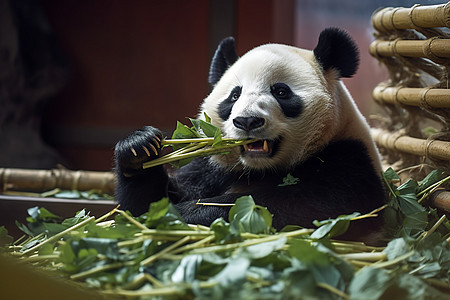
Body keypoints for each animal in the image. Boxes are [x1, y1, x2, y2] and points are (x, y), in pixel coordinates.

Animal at [114, 28, 384, 243]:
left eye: (281, 92)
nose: (247, 120)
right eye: (235, 95)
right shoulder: (210, 169)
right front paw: (139, 148)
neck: (259, 169)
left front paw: (188, 212)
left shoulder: (348, 158)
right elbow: (144, 207)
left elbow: (320, 204)